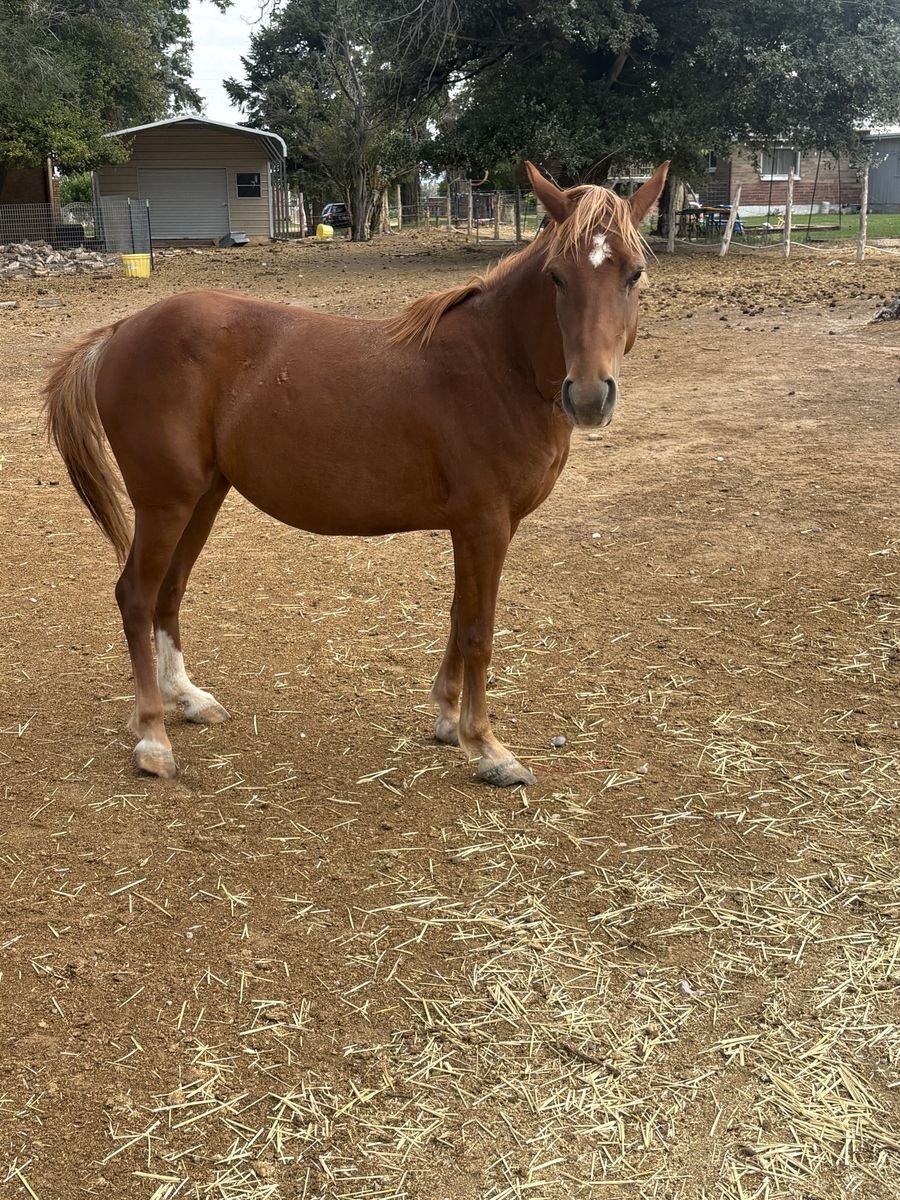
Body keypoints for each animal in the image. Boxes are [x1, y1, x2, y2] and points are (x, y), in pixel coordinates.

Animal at [44, 160, 669, 787]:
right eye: (557, 277)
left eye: (634, 274)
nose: (588, 396)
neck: (497, 364)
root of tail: (122, 329)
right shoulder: (484, 524)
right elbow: (478, 631)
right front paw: (488, 747)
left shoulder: (482, 528)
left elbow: (459, 615)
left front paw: (447, 719)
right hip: (164, 503)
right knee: (136, 596)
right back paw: (152, 738)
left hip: (202, 498)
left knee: (169, 592)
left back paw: (189, 699)